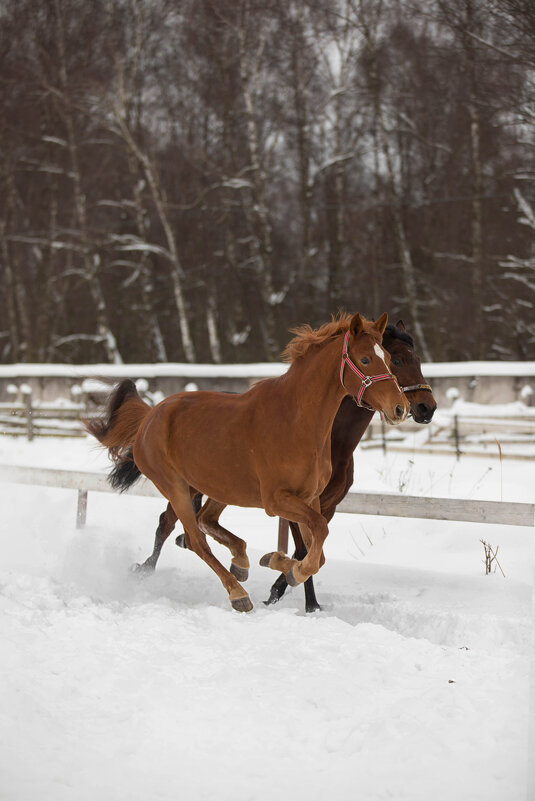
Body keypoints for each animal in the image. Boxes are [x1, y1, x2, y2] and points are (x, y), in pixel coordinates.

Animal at [87, 310, 410, 608]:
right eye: (366, 360)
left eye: (388, 358)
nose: (401, 408)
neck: (296, 421)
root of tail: (149, 417)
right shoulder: (277, 499)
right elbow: (317, 537)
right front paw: (290, 571)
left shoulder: (312, 498)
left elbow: (317, 550)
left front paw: (278, 563)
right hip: (175, 487)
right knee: (195, 538)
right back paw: (237, 593)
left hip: (214, 487)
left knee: (204, 522)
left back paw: (241, 564)